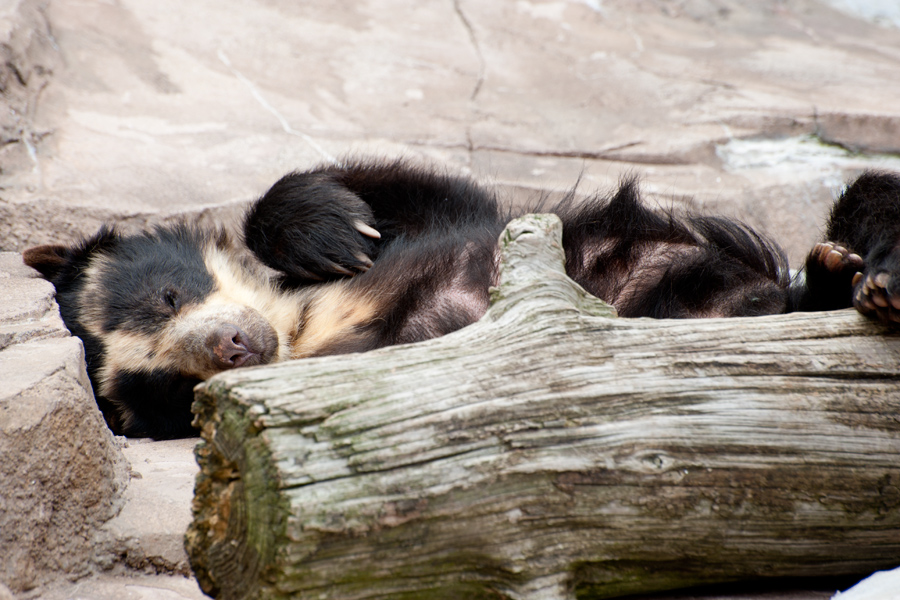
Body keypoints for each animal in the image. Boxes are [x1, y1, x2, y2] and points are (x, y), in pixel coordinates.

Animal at [19, 158, 900, 440]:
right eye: (163, 389)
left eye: (169, 293)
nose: (233, 348)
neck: (301, 328)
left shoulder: (454, 218)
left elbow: (433, 190)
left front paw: (333, 231)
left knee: (870, 195)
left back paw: (862, 277)